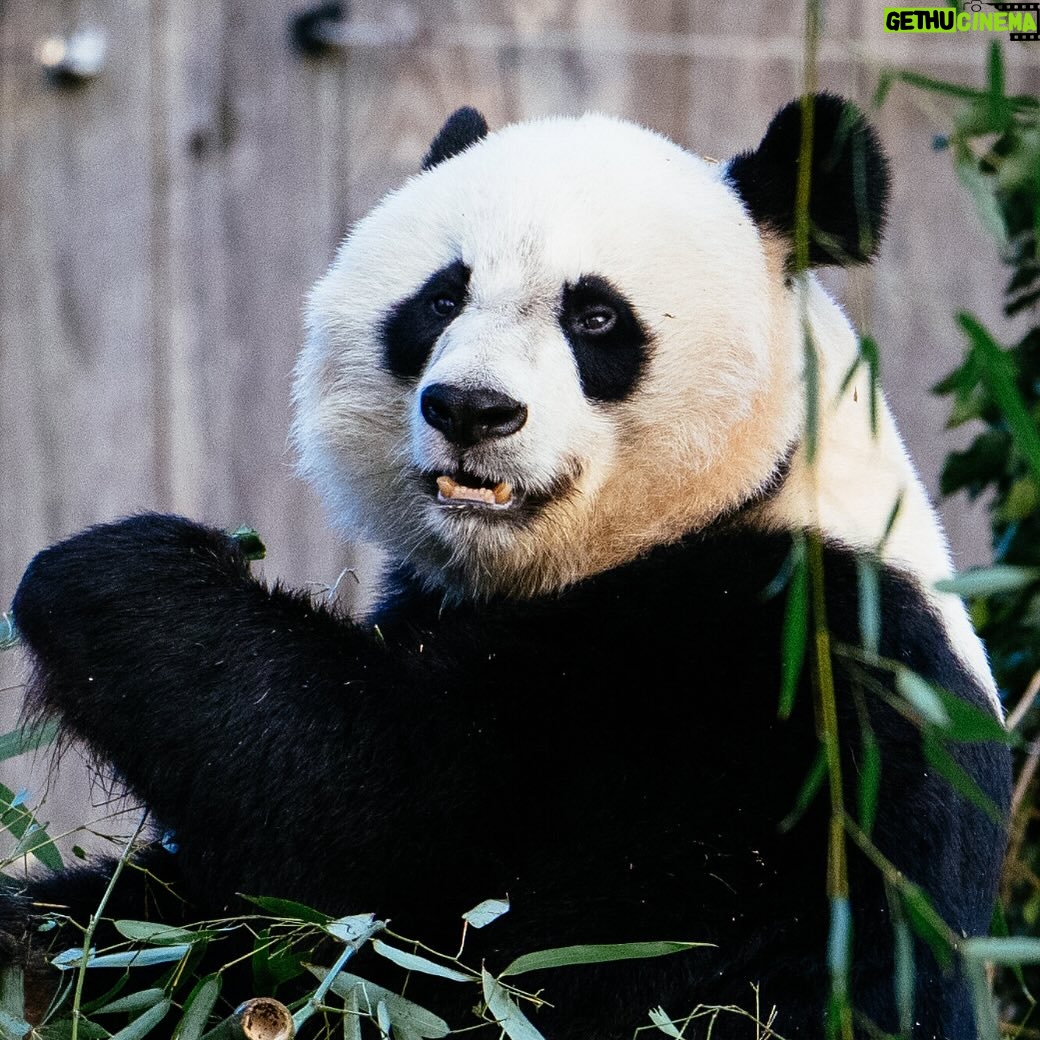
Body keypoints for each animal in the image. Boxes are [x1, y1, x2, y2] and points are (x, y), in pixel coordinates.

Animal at [1, 96, 1011, 1040]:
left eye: (596, 316)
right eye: (441, 299)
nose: (471, 409)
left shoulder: (784, 674)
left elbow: (390, 843)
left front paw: (110, 578)